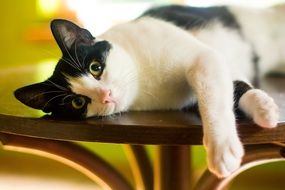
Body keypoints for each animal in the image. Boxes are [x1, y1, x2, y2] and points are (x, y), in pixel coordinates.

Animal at [14, 5, 280, 178]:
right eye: (77, 102)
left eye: (95, 67)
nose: (106, 95)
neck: (143, 80)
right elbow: (230, 89)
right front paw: (262, 109)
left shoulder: (205, 58)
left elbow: (216, 98)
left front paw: (223, 147)